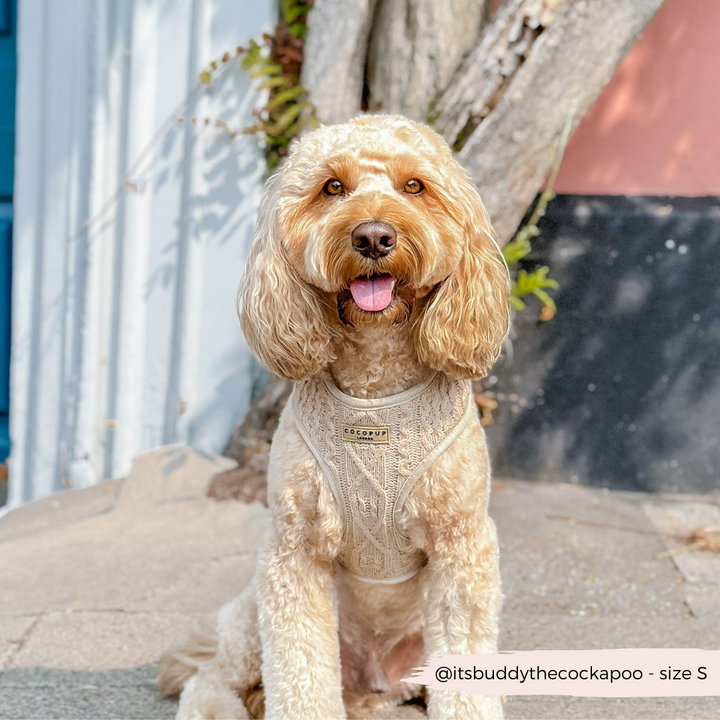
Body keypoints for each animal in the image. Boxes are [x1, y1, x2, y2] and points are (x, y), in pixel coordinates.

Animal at [162, 115, 512, 716]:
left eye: (414, 186)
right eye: (332, 188)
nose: (373, 236)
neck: (375, 392)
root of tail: (374, 676)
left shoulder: (462, 549)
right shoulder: (292, 554)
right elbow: (300, 673)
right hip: (250, 616)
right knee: (210, 679)